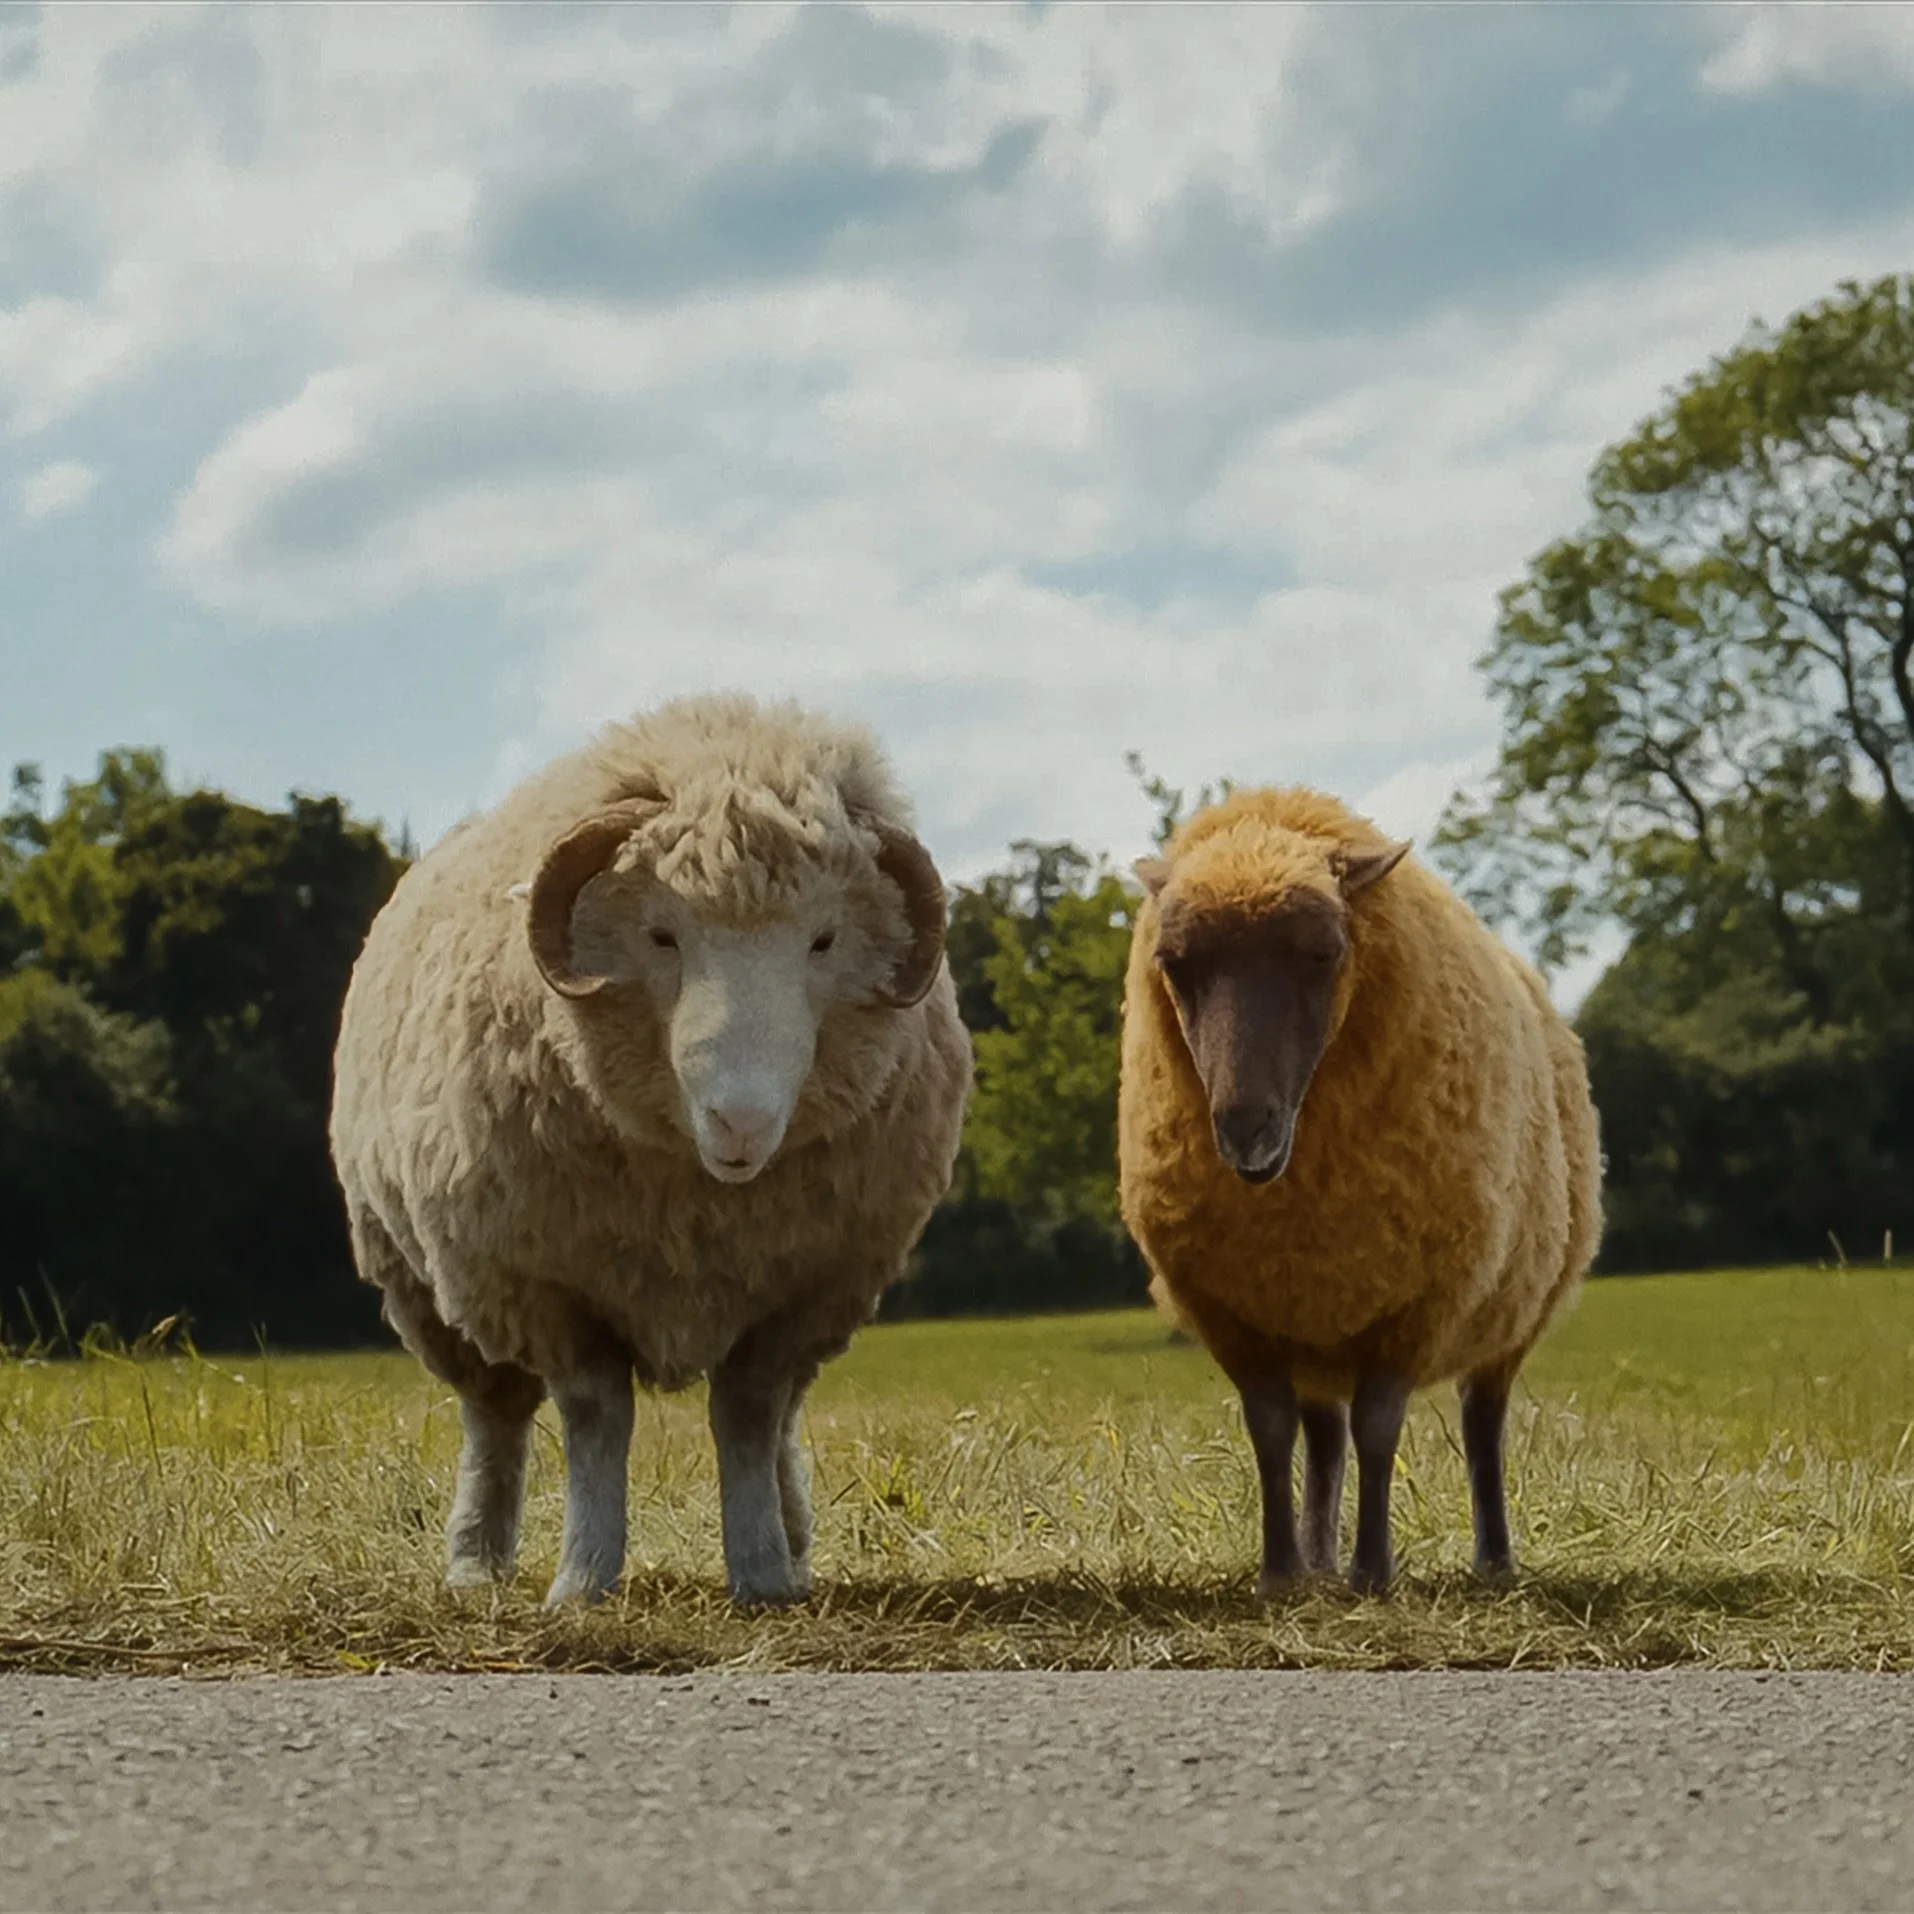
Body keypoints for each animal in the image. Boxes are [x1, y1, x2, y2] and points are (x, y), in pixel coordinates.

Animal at [329, 692, 972, 1607]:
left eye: (823, 941)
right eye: (662, 935)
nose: (741, 1122)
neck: (700, 1200)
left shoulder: (801, 1295)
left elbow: (748, 1416)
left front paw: (763, 1571)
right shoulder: (552, 1289)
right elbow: (598, 1420)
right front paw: (583, 1579)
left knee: (780, 1422)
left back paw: (794, 1540)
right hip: (432, 1288)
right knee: (495, 1418)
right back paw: (476, 1561)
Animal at [1117, 786, 1601, 1593]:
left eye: (1323, 954)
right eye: (1175, 963)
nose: (1245, 1129)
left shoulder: (1415, 1305)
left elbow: (1379, 1431)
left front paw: (1374, 1571)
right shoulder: (1238, 1315)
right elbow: (1271, 1432)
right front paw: (1281, 1573)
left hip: (1508, 1315)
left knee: (1482, 1425)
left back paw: (1493, 1560)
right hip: (1317, 1326)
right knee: (1322, 1438)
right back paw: (1318, 1560)